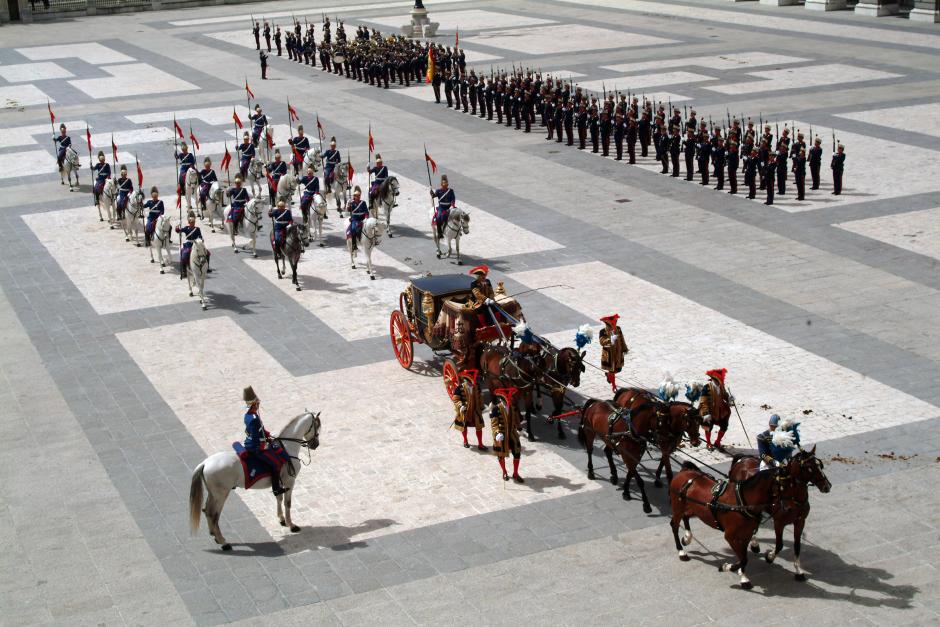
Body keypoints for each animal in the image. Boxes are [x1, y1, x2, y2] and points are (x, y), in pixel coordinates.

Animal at [189, 412, 322, 548]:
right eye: (317, 426)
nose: (315, 444)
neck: (287, 448)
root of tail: (205, 463)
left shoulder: (279, 483)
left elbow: (279, 498)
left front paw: (281, 519)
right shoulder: (289, 482)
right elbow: (287, 503)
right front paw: (292, 525)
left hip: (213, 494)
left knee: (206, 511)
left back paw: (214, 535)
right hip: (220, 495)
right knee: (213, 514)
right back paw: (223, 542)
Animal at [668, 458, 784, 592]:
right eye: (787, 485)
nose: (789, 510)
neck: (742, 502)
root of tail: (684, 472)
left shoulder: (746, 534)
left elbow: (743, 557)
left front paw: (743, 577)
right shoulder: (731, 537)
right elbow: (743, 559)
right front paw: (726, 567)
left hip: (691, 507)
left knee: (686, 517)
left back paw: (687, 538)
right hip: (678, 507)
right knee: (674, 525)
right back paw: (681, 551)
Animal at [728, 448, 828, 580]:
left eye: (820, 465)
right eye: (809, 468)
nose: (827, 486)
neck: (793, 497)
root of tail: (743, 459)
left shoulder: (800, 521)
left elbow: (797, 545)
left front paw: (798, 570)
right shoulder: (779, 523)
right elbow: (779, 544)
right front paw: (770, 557)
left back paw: (754, 544)